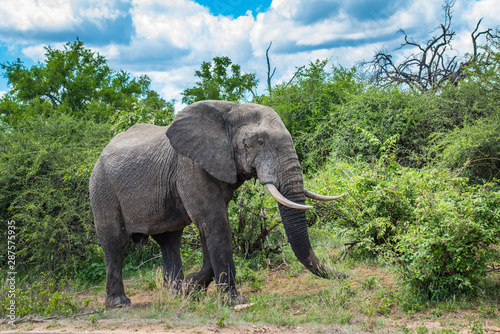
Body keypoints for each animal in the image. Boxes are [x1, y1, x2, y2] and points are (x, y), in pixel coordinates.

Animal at [90, 100, 346, 308]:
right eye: (259, 142)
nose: (344, 276)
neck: (231, 110)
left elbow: (210, 228)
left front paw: (191, 288)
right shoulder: (190, 166)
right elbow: (215, 223)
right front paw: (234, 301)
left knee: (170, 240)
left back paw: (175, 294)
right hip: (102, 189)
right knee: (115, 243)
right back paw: (119, 303)